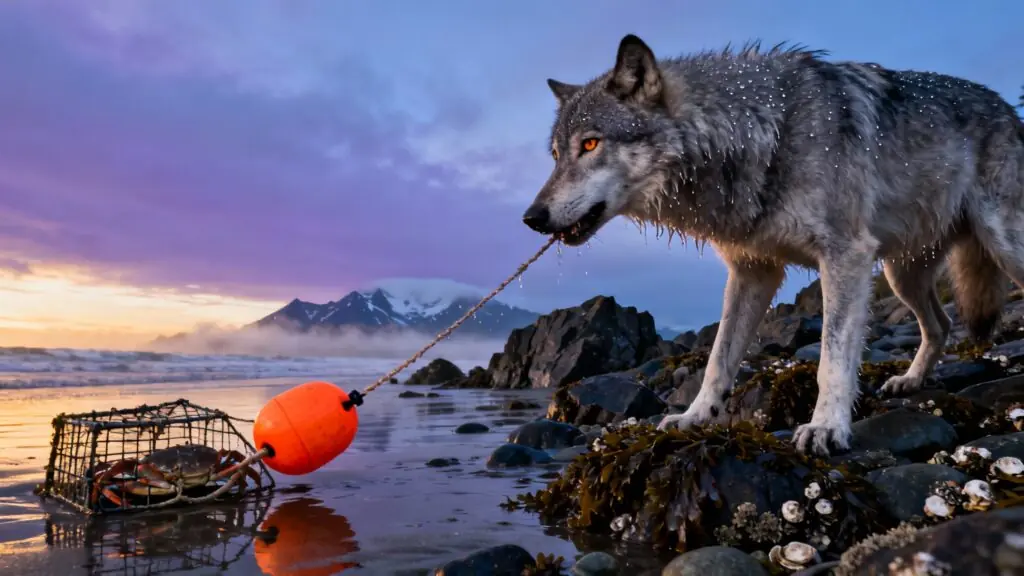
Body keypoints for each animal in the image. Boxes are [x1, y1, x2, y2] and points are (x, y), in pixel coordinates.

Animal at [520, 34, 1024, 456]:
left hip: (999, 248)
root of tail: (1006, 107)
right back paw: (911, 381)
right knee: (940, 324)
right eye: (556, 155)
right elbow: (719, 359)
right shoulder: (752, 271)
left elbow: (831, 359)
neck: (760, 133)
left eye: (590, 144)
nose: (532, 218)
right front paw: (694, 417)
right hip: (902, 276)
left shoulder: (845, 257)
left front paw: (826, 428)